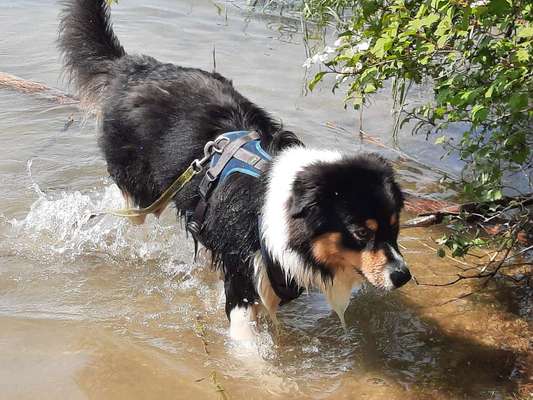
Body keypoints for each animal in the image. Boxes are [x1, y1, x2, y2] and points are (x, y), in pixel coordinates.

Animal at [58, 0, 410, 340]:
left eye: (394, 228)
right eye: (361, 233)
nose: (403, 276)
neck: (280, 215)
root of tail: (132, 67)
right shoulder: (241, 277)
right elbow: (249, 348)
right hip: (138, 186)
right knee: (128, 208)